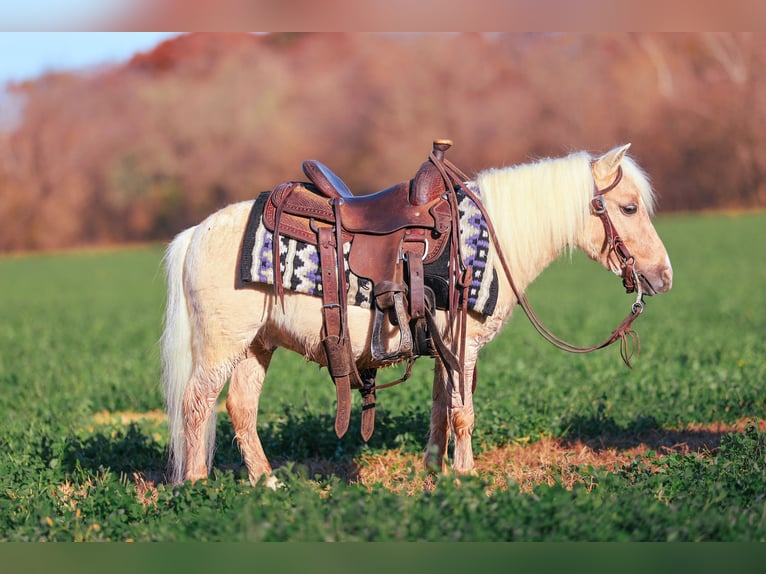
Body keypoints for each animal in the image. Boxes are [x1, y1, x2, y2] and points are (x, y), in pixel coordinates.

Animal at [160, 143, 673, 487]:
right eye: (628, 207)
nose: (663, 277)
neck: (490, 238)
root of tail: (196, 232)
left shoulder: (445, 345)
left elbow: (440, 407)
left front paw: (434, 469)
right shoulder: (465, 345)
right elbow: (463, 412)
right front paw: (466, 476)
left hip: (257, 344)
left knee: (240, 407)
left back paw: (267, 483)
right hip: (222, 345)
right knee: (197, 403)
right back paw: (197, 485)